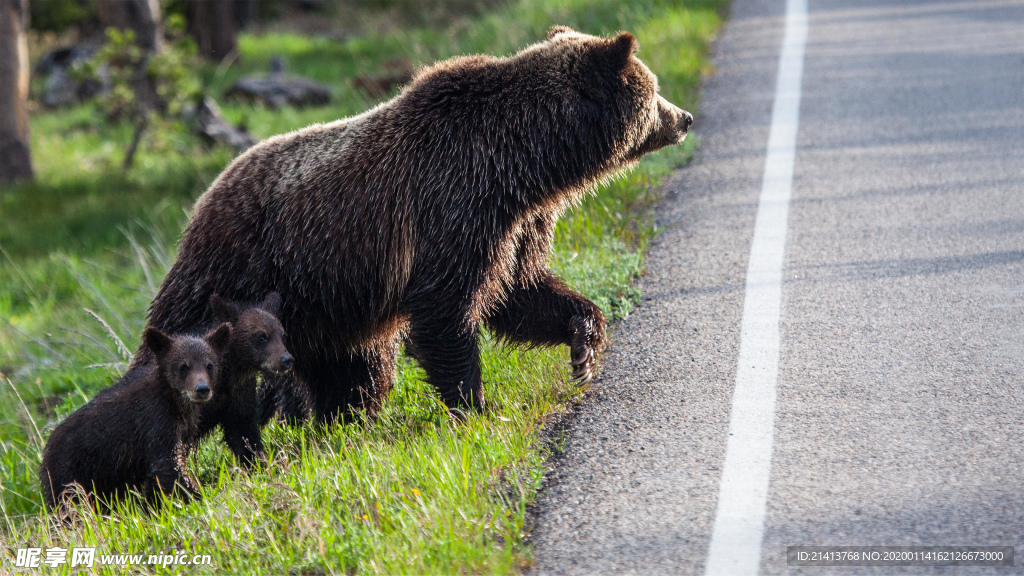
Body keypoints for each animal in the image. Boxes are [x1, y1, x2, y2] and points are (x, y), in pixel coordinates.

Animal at [144, 25, 692, 422]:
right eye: (654, 92)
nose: (684, 118)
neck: (527, 163)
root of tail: (203, 199)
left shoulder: (517, 223)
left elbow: (519, 292)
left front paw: (584, 345)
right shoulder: (454, 204)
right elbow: (446, 310)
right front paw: (474, 406)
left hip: (326, 310)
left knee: (357, 372)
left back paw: (346, 422)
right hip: (240, 270)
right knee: (175, 335)